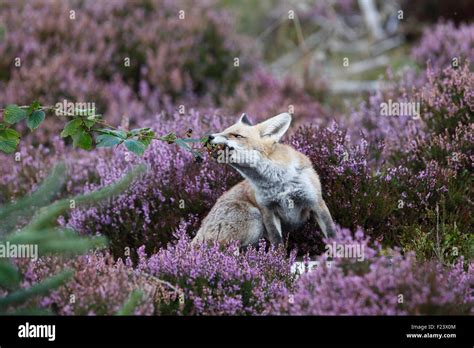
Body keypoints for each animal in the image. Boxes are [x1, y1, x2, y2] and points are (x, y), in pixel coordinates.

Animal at [191, 113, 336, 246]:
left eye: (237, 136)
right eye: (223, 131)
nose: (209, 136)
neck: (278, 182)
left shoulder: (316, 202)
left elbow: (331, 235)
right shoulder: (267, 210)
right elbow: (277, 243)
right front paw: (278, 258)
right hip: (255, 218)